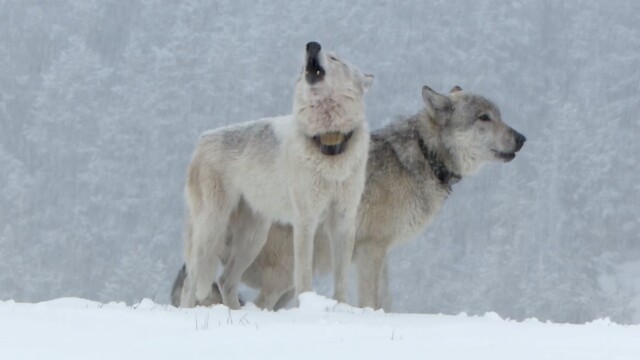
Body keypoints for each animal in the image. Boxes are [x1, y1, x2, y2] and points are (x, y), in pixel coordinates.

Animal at [174, 83, 524, 310]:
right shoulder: (371, 250)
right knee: (198, 288)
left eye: (499, 115)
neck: (423, 156)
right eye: (484, 118)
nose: (522, 138)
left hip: (255, 244)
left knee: (227, 285)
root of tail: (199, 145)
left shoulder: (382, 253)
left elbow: (387, 303)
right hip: (255, 260)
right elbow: (370, 302)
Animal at [179, 40, 376, 308]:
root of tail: (201, 141)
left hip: (253, 238)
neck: (328, 142)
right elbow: (303, 275)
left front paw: (342, 308)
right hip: (212, 230)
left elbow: (342, 278)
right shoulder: (305, 221)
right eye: (302, 65)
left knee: (225, 280)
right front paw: (306, 306)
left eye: (335, 58)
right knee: (191, 282)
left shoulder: (344, 220)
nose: (312, 45)